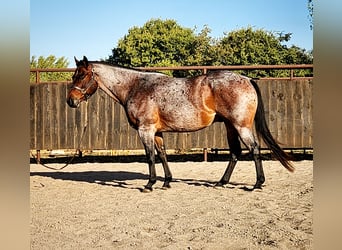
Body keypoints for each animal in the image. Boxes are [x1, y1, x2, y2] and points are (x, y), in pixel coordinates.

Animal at [67, 56, 294, 192]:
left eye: (82, 75)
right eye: (74, 75)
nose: (71, 101)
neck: (136, 86)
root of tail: (246, 78)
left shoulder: (145, 130)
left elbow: (150, 156)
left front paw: (149, 184)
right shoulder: (157, 132)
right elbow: (162, 155)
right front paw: (166, 181)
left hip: (241, 126)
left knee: (254, 149)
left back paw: (257, 184)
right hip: (230, 126)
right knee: (235, 153)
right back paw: (221, 182)